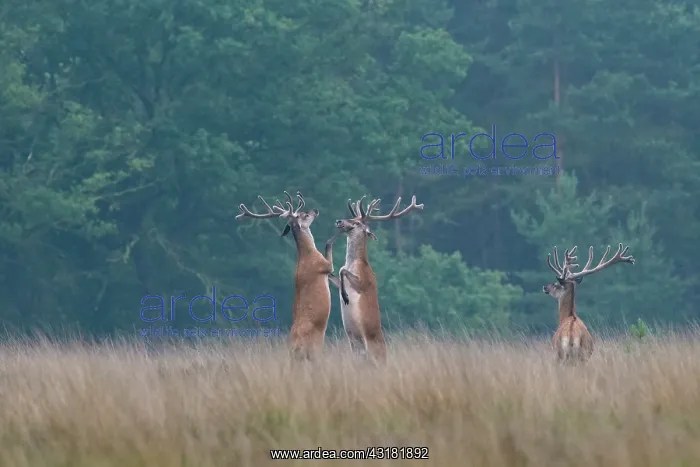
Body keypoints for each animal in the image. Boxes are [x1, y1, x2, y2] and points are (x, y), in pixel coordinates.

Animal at [236, 191, 341, 360]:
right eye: (305, 215)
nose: (315, 210)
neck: (308, 254)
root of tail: (295, 348)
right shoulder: (323, 265)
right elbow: (328, 248)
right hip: (316, 348)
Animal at [329, 194, 424, 362]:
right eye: (353, 217)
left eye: (357, 222)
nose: (339, 221)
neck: (355, 263)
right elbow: (335, 275)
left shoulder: (364, 281)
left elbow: (342, 270)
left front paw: (345, 296)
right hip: (355, 346)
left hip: (372, 350)